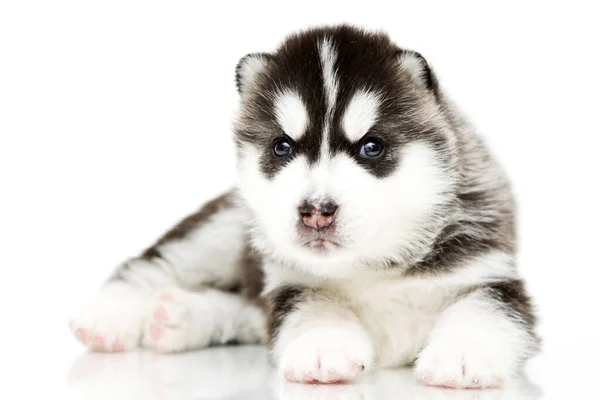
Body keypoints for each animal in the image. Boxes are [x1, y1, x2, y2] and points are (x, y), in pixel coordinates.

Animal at [70, 24, 540, 388]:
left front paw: (463, 355)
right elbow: (312, 307)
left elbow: (485, 310)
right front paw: (323, 347)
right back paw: (109, 318)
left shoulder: (490, 271)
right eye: (282, 147)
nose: (316, 210)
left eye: (372, 147)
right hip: (224, 229)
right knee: (157, 265)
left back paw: (178, 318)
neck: (372, 265)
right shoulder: (291, 281)